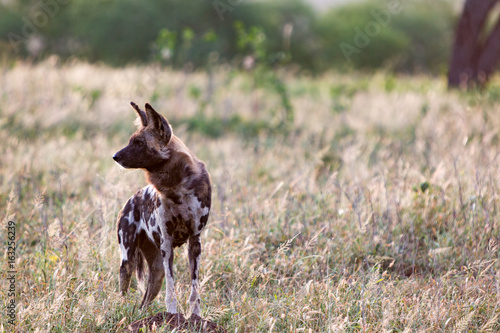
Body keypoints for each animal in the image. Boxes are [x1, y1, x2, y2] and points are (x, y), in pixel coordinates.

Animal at [114, 101, 211, 314]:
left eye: (139, 143)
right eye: (131, 141)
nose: (114, 156)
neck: (177, 186)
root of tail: (132, 198)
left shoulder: (195, 240)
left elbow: (194, 288)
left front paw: (195, 315)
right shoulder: (167, 241)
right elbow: (171, 287)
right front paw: (172, 314)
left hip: (155, 272)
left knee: (143, 303)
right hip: (128, 261)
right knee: (122, 293)